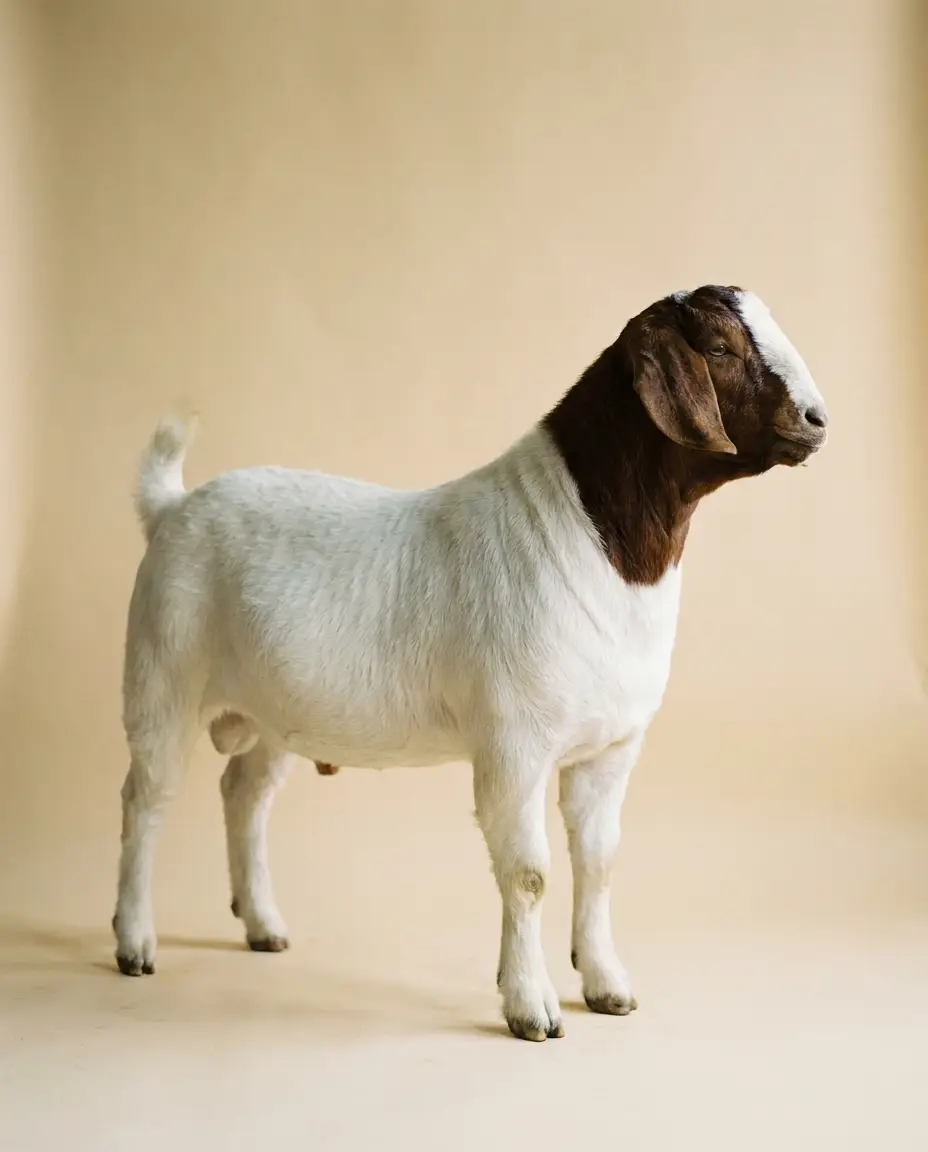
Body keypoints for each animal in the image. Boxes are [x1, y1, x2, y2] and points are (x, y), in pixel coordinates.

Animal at [113, 285, 828, 1041]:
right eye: (719, 346)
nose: (817, 420)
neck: (596, 541)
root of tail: (171, 508)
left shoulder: (611, 750)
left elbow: (599, 862)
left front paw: (607, 985)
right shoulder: (516, 746)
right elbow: (529, 873)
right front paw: (532, 1008)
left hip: (270, 712)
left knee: (244, 795)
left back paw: (263, 926)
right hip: (162, 676)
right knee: (146, 800)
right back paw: (135, 943)